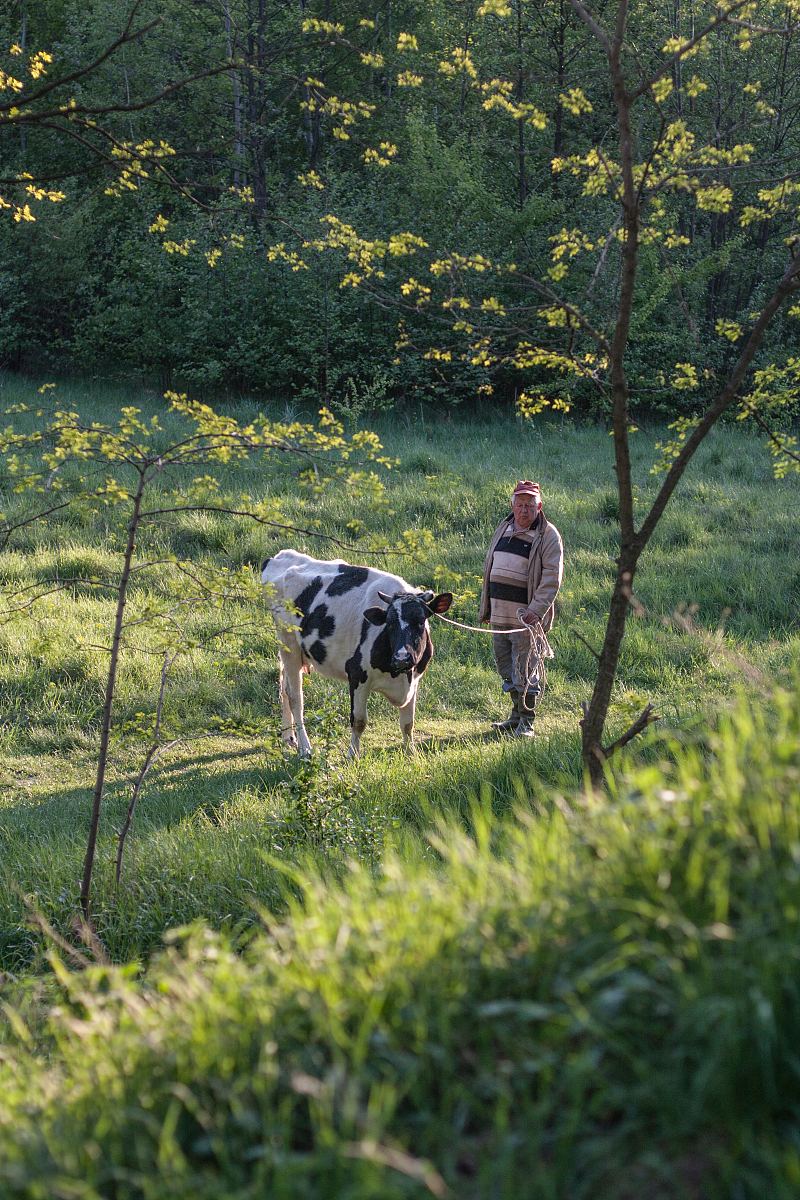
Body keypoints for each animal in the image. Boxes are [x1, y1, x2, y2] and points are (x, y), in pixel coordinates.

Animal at [261, 549, 453, 753]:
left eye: (420, 621)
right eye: (390, 623)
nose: (402, 658)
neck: (399, 674)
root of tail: (280, 556)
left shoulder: (414, 680)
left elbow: (408, 723)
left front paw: (411, 752)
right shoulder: (357, 674)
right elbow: (359, 721)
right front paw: (353, 755)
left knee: (283, 688)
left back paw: (288, 737)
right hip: (289, 644)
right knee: (294, 696)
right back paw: (305, 747)